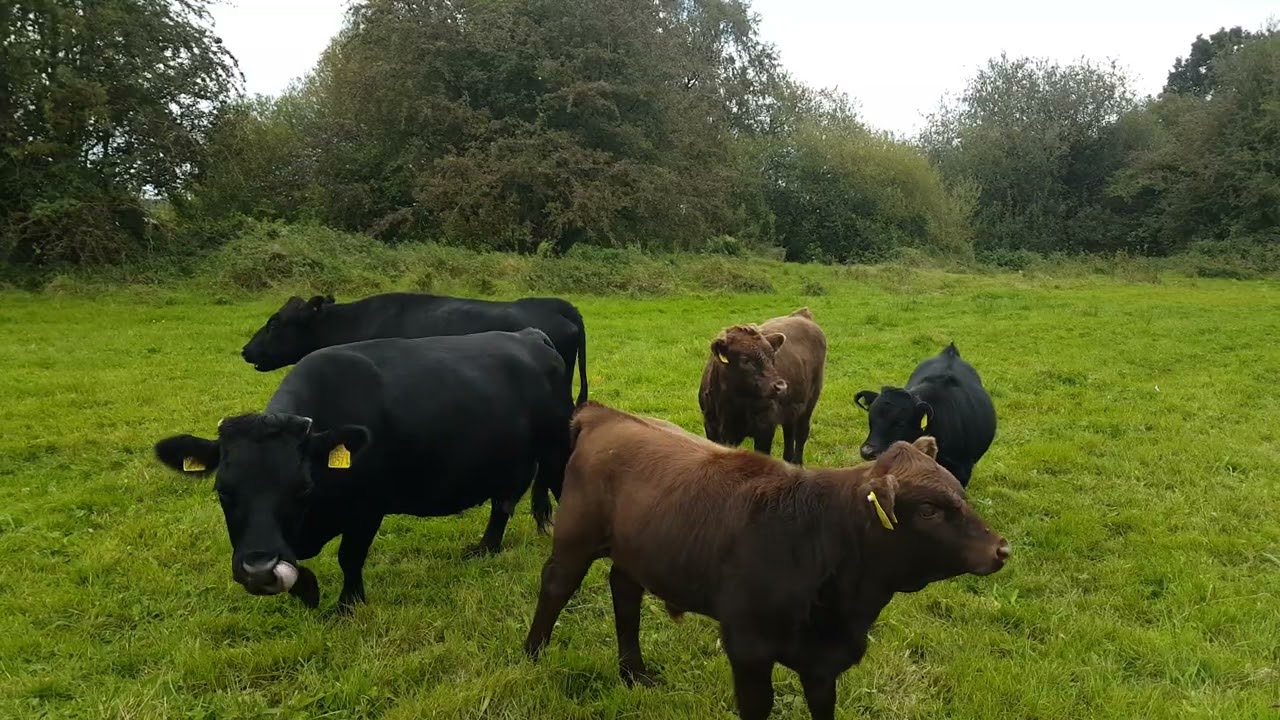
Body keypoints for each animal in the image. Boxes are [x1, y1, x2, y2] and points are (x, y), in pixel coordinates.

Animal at [153, 329, 572, 611]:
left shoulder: (367, 509)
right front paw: (308, 593)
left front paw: (348, 605)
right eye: (223, 490)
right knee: (503, 503)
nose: (258, 569)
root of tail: (530, 336)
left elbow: (349, 558)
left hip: (556, 451)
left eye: (302, 488)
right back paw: (486, 548)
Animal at [522, 401, 1009, 720]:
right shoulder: (748, 647)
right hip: (575, 539)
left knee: (624, 594)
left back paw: (634, 673)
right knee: (556, 586)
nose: (1001, 548)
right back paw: (531, 655)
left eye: (959, 492)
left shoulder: (822, 662)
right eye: (928, 510)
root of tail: (606, 414)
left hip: (637, 552)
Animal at [698, 307, 826, 465]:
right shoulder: (711, 427)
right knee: (789, 434)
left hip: (810, 401)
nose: (781, 387)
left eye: (772, 357)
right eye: (745, 360)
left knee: (801, 433)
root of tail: (802, 315)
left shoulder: (765, 428)